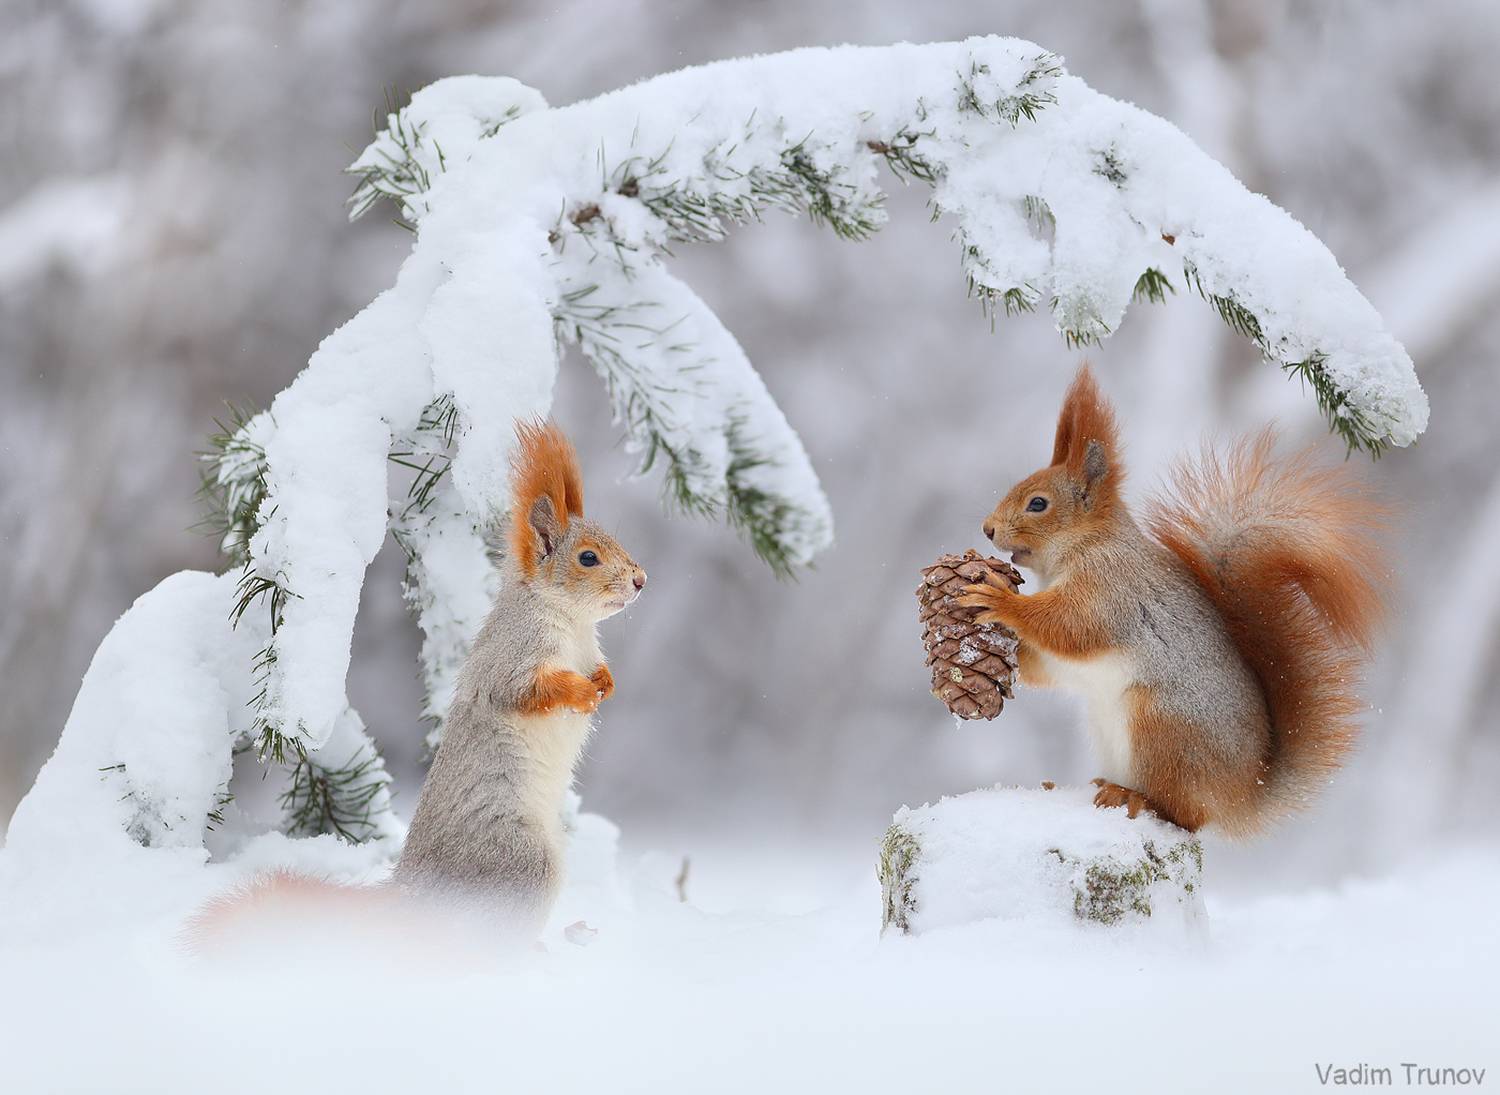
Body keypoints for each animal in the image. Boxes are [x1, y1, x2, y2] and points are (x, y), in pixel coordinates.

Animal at [188, 419, 645, 947]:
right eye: (588, 558)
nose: (641, 579)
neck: (571, 624)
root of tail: (413, 897)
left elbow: (599, 670)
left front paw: (606, 683)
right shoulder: (512, 657)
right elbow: (524, 692)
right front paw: (581, 693)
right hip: (524, 861)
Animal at [957, 365, 1386, 836]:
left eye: (1038, 503)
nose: (987, 529)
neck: (1085, 545)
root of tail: (1242, 793)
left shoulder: (1111, 590)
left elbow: (1070, 627)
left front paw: (998, 599)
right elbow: (1051, 662)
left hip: (1162, 727)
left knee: (1186, 815)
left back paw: (1134, 797)